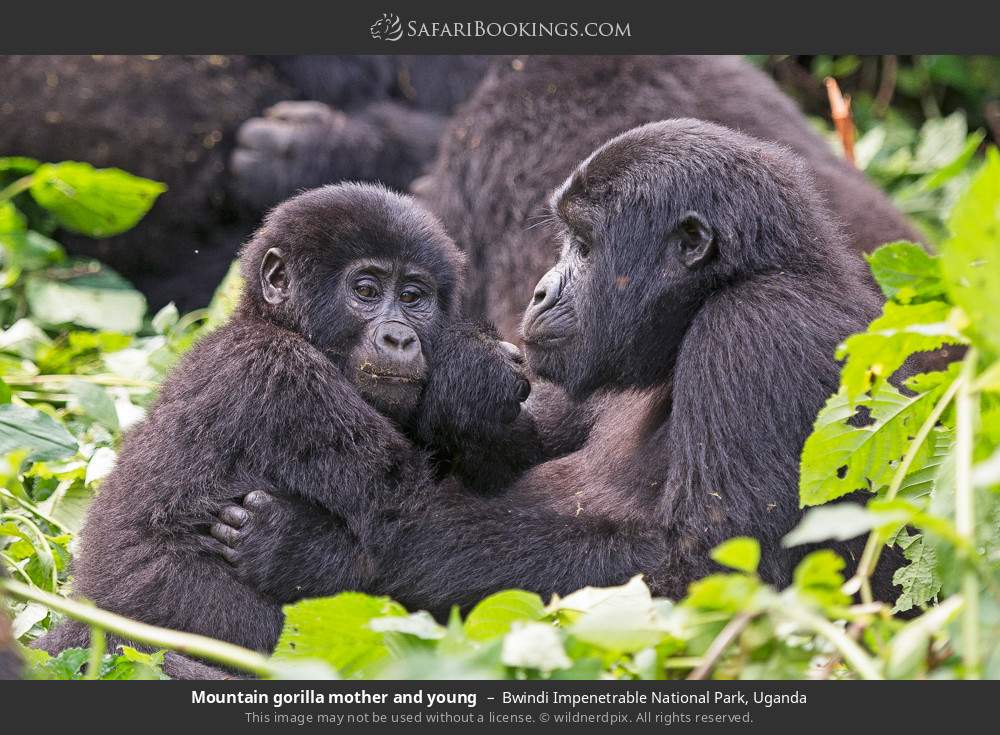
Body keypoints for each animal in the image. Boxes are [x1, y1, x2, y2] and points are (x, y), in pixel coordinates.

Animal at [35, 184, 528, 660]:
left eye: (412, 297)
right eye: (367, 291)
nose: (400, 338)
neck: (276, 322)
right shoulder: (283, 377)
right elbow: (411, 518)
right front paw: (475, 374)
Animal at [215, 122, 904, 616]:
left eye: (586, 246)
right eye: (568, 240)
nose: (541, 291)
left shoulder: (759, 331)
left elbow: (709, 573)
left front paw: (324, 553)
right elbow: (516, 447)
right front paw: (465, 384)